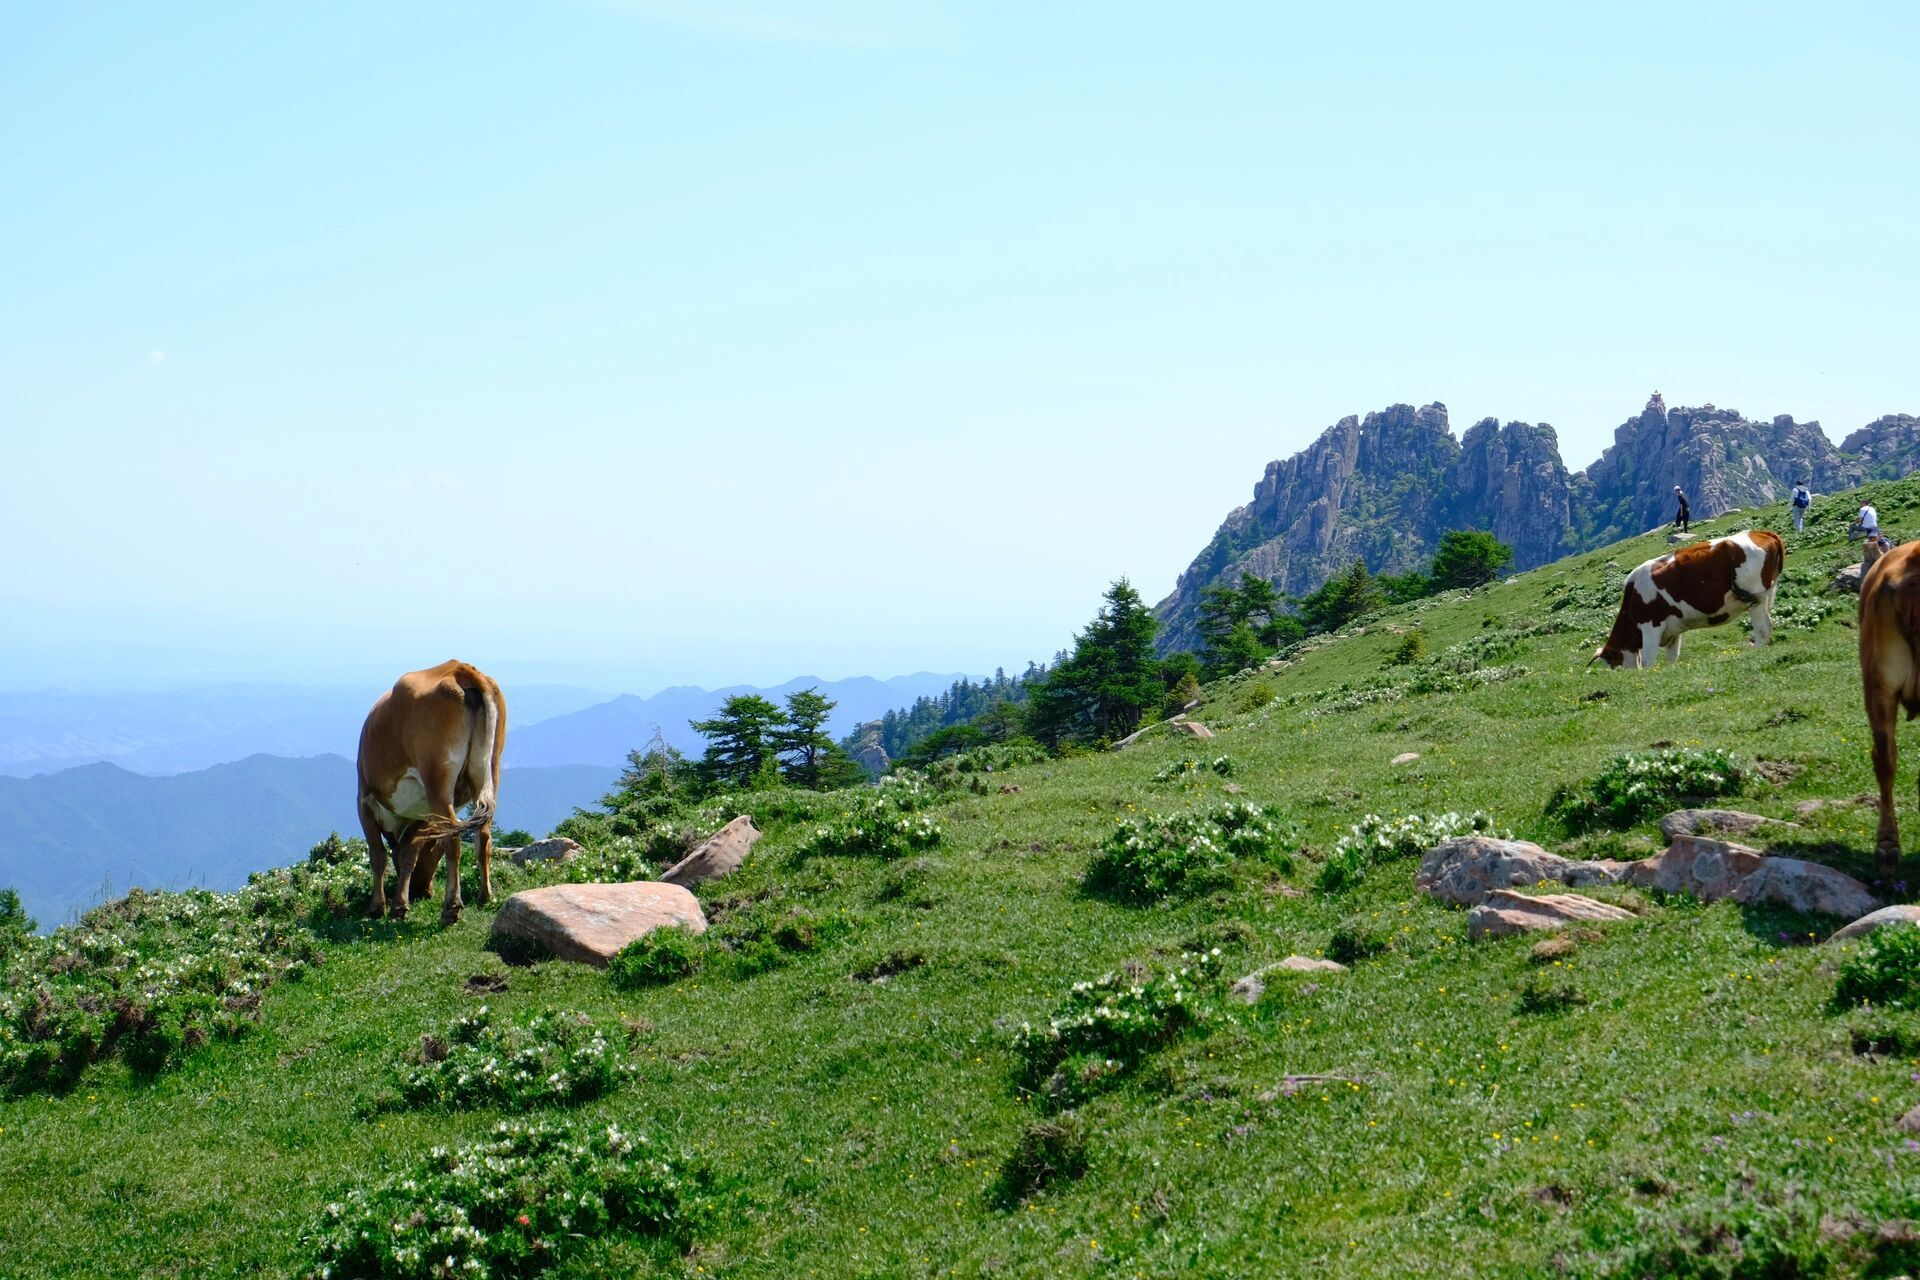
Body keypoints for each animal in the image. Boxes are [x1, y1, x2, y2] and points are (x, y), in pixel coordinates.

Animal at [359, 660, 510, 921]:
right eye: (433, 852)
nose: (424, 891)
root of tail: (460, 669)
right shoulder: (422, 812)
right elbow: (409, 855)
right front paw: (399, 905)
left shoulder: (363, 799)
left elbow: (378, 855)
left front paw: (378, 906)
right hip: (491, 767)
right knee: (483, 835)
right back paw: (485, 896)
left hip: (437, 777)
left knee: (453, 837)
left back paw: (451, 908)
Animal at [1589, 529, 1781, 671]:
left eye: (1611, 664)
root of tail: (1761, 533)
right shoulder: (1673, 631)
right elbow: (1672, 658)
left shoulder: (1651, 626)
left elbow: (1648, 662)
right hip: (1764, 598)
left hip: (1755, 599)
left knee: (1762, 629)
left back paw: (1755, 653)